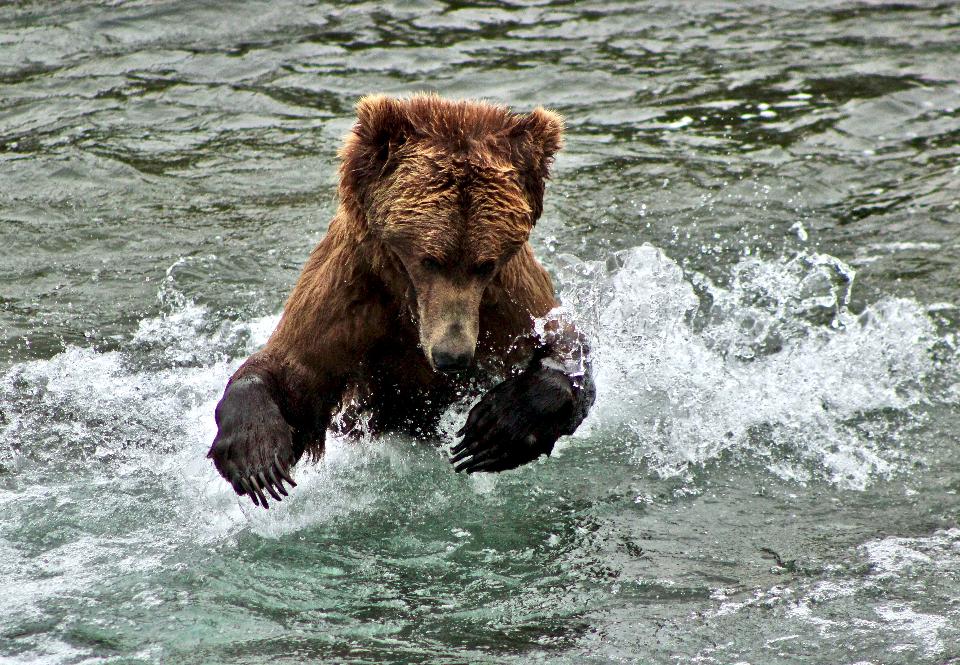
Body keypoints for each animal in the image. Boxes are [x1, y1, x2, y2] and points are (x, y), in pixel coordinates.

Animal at [208, 94, 592, 508]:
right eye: (429, 259)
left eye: (484, 264)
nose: (452, 356)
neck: (412, 305)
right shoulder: (351, 295)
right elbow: (294, 371)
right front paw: (257, 457)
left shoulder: (506, 304)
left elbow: (563, 348)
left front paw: (496, 429)